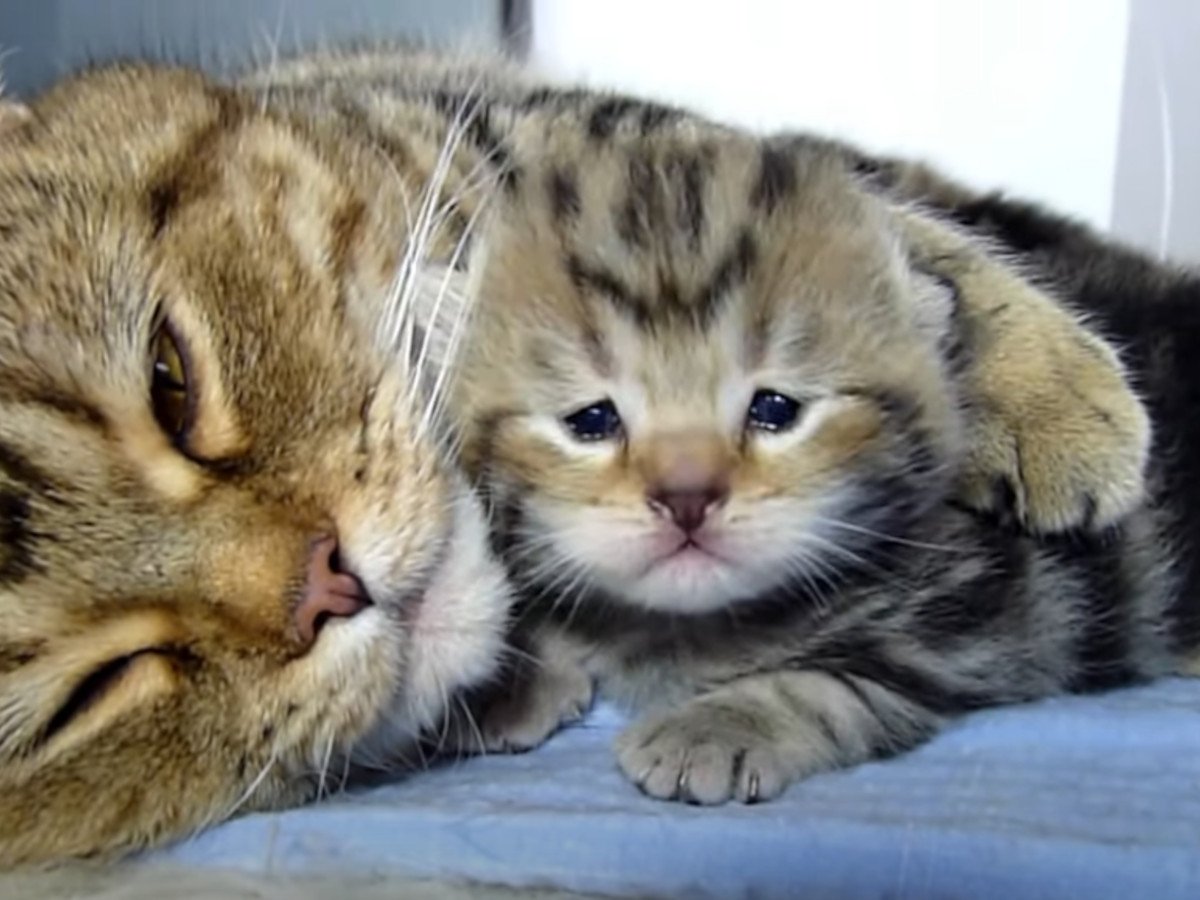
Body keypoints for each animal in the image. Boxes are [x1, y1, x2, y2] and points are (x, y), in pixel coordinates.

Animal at [451, 123, 1190, 806]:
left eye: (775, 409)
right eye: (592, 421)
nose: (687, 495)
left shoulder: (972, 631)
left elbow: (827, 687)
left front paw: (715, 729)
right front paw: (502, 677)